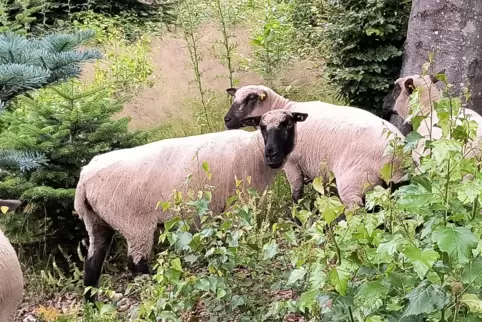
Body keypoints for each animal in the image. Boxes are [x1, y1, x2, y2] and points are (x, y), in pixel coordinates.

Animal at [75, 109, 308, 304]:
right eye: (262, 127)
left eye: (288, 124)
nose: (272, 155)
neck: (254, 151)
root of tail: (84, 179)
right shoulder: (235, 206)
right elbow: (234, 241)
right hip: (135, 224)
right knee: (136, 265)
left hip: (97, 222)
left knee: (92, 265)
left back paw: (93, 307)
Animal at [223, 85, 406, 211]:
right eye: (234, 97)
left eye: (251, 98)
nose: (227, 120)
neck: (284, 107)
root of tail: (398, 155)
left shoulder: (292, 164)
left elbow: (297, 193)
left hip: (355, 182)